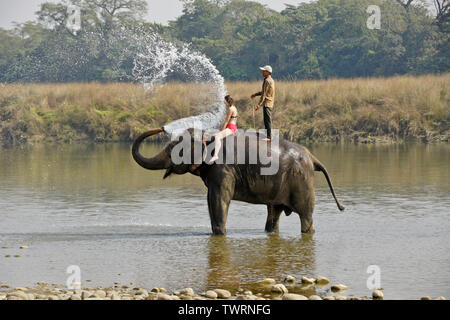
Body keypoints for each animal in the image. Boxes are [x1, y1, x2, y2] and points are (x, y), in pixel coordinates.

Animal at [131, 127, 344, 235]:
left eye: (176, 148)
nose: (161, 127)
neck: (209, 137)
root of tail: (313, 158)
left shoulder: (223, 170)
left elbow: (219, 200)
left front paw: (219, 234)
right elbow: (211, 201)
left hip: (302, 181)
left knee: (306, 216)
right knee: (274, 214)